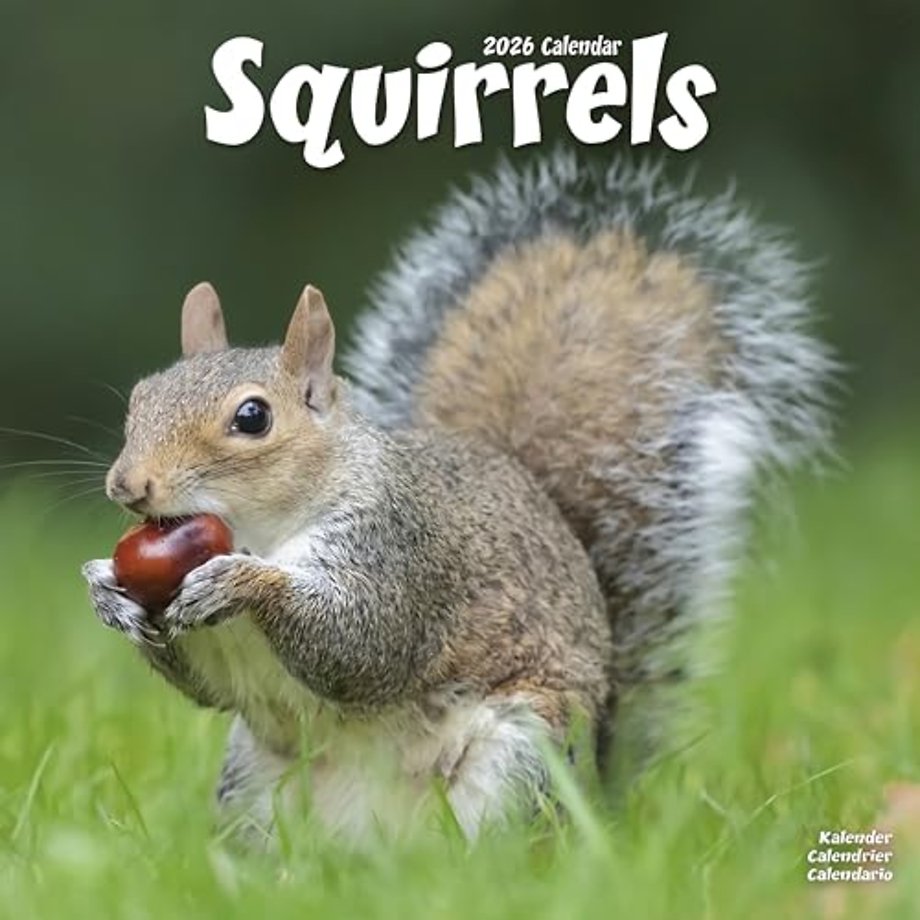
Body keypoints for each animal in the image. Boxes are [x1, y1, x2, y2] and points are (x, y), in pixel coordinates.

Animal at [82, 152, 832, 846]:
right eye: (142, 395)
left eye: (252, 417)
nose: (127, 485)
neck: (262, 529)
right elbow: (205, 685)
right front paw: (106, 590)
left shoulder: (400, 552)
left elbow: (359, 642)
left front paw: (242, 582)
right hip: (254, 783)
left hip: (520, 756)